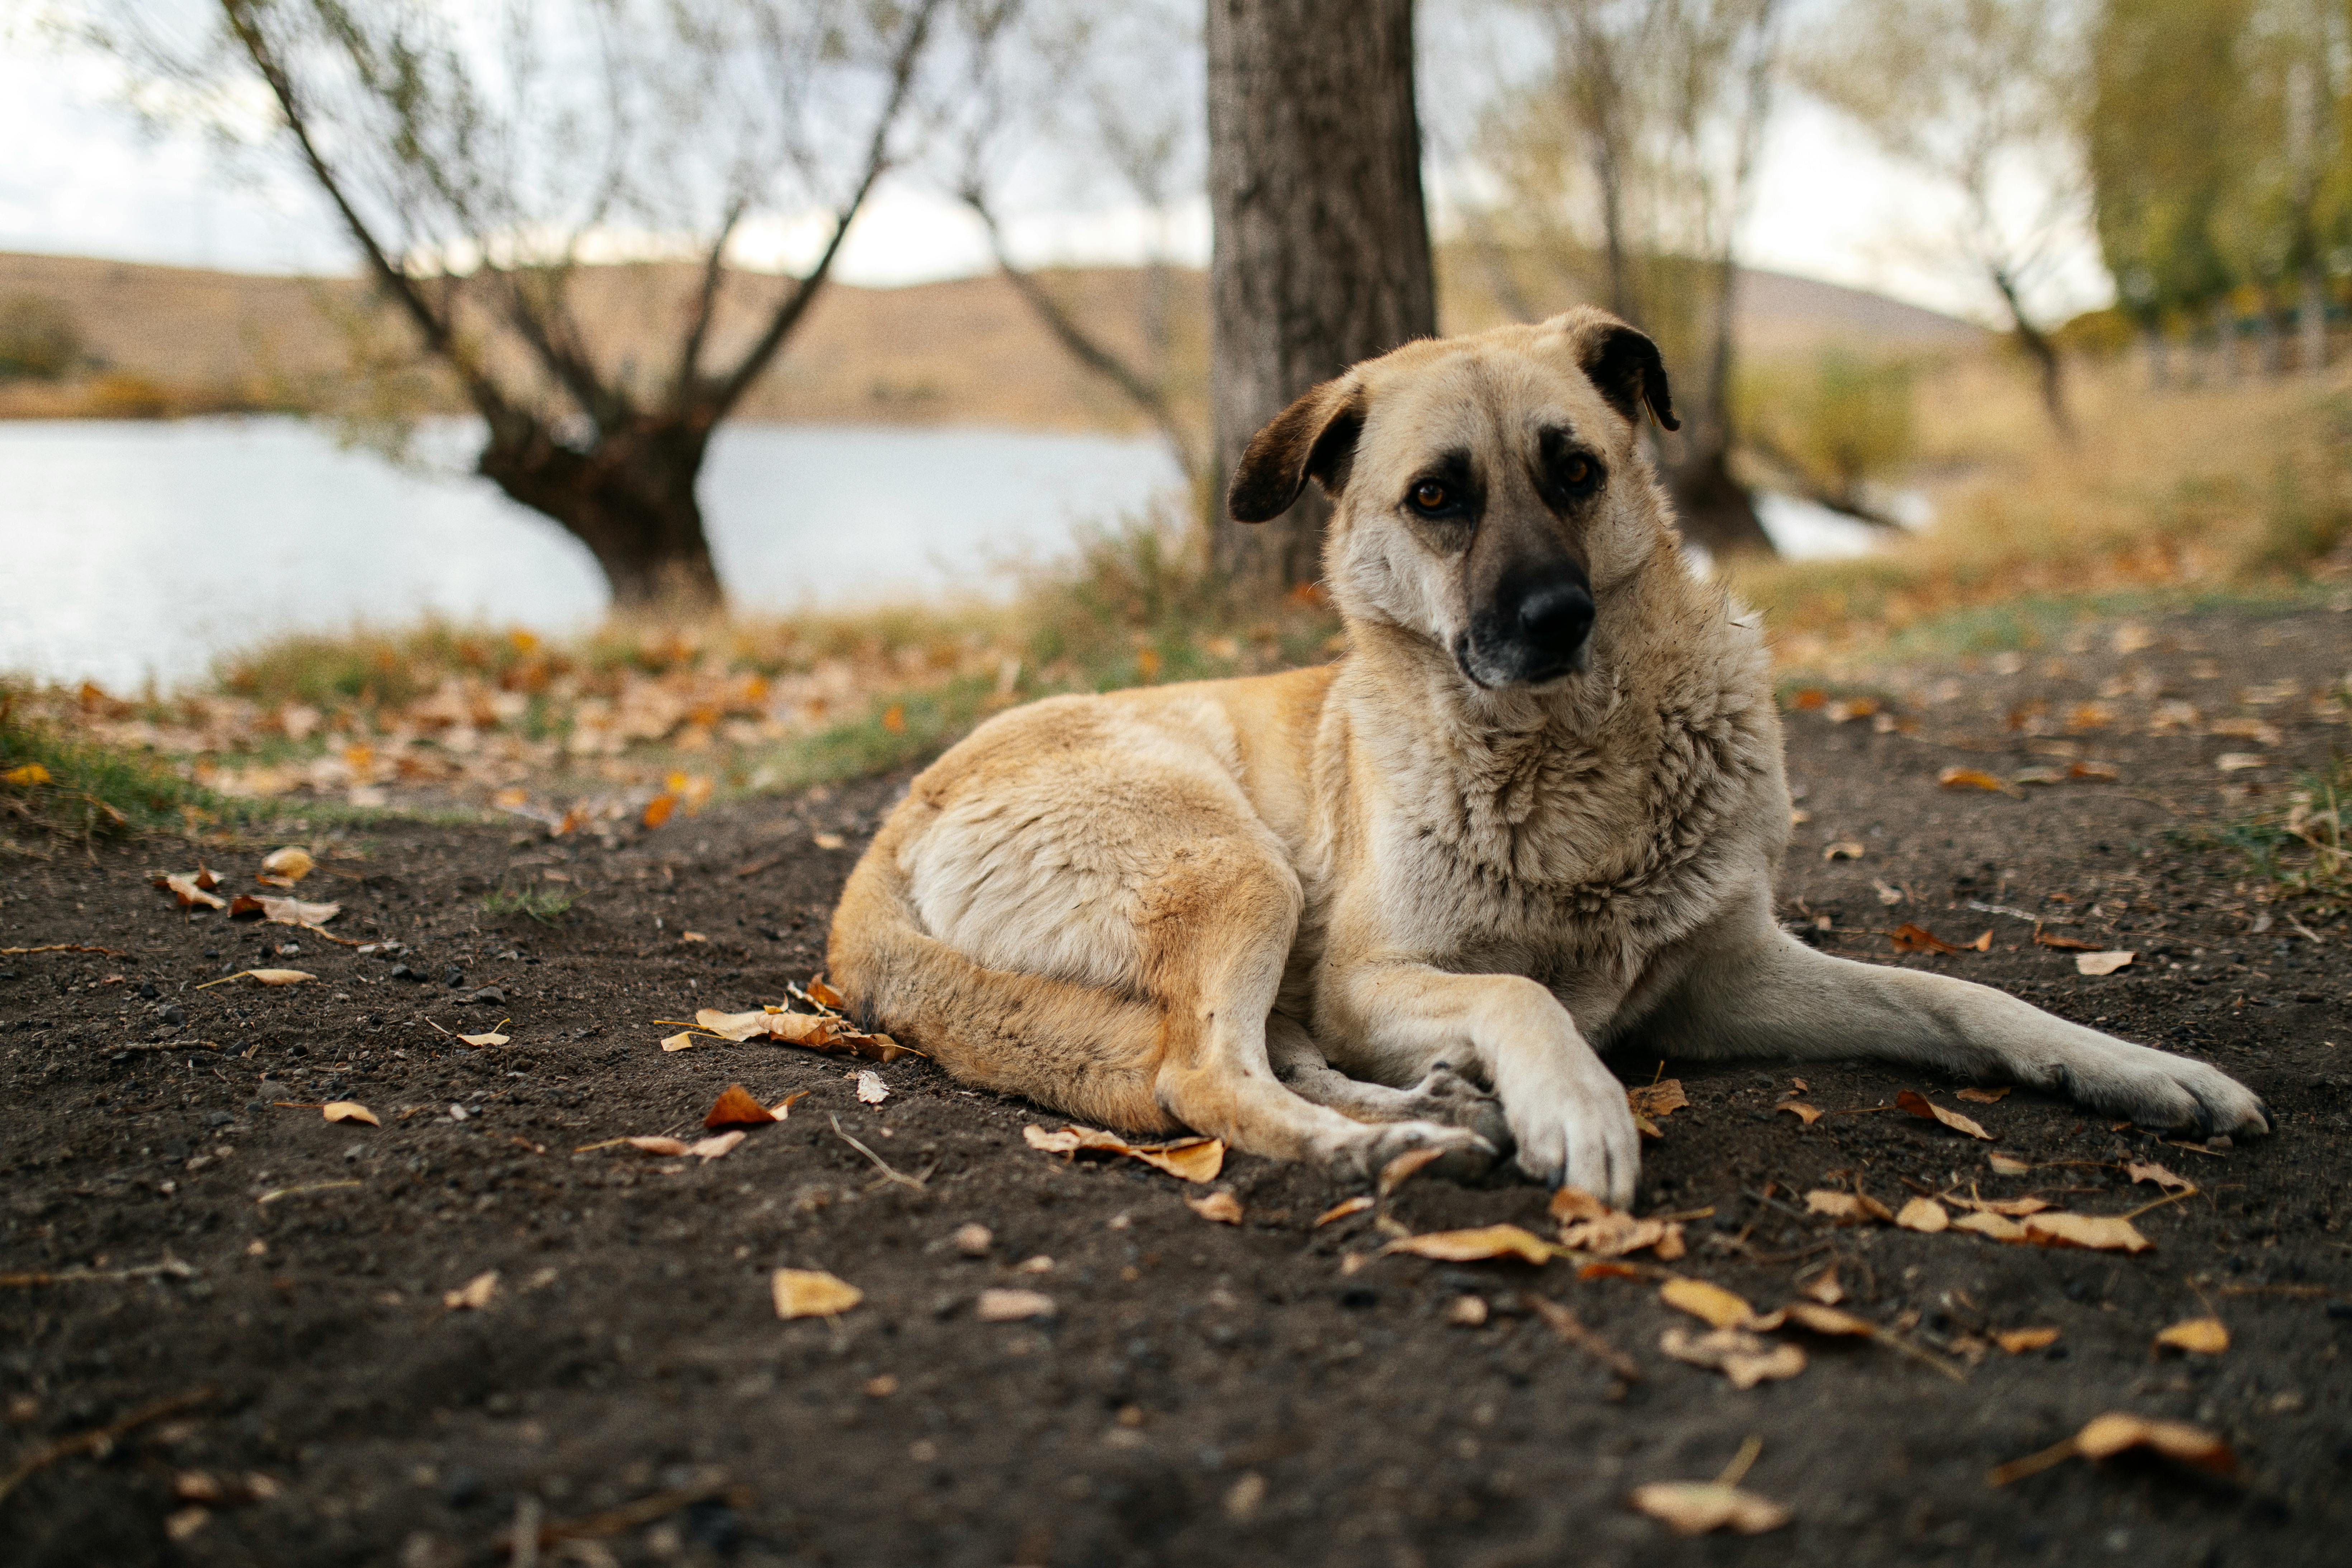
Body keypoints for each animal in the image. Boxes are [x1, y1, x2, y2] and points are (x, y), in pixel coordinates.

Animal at [832, 303, 2277, 1204]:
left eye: (1574, 468)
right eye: (1435, 498)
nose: (1554, 620)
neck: (1572, 761)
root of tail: (897, 822)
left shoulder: (1725, 982)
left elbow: (1962, 998)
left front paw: (2138, 1069)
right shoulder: (1374, 972)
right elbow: (1521, 991)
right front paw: (1575, 1103)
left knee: (1249, 1053)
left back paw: (1433, 1107)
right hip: (1239, 867)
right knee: (1201, 1073)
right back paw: (1381, 1146)